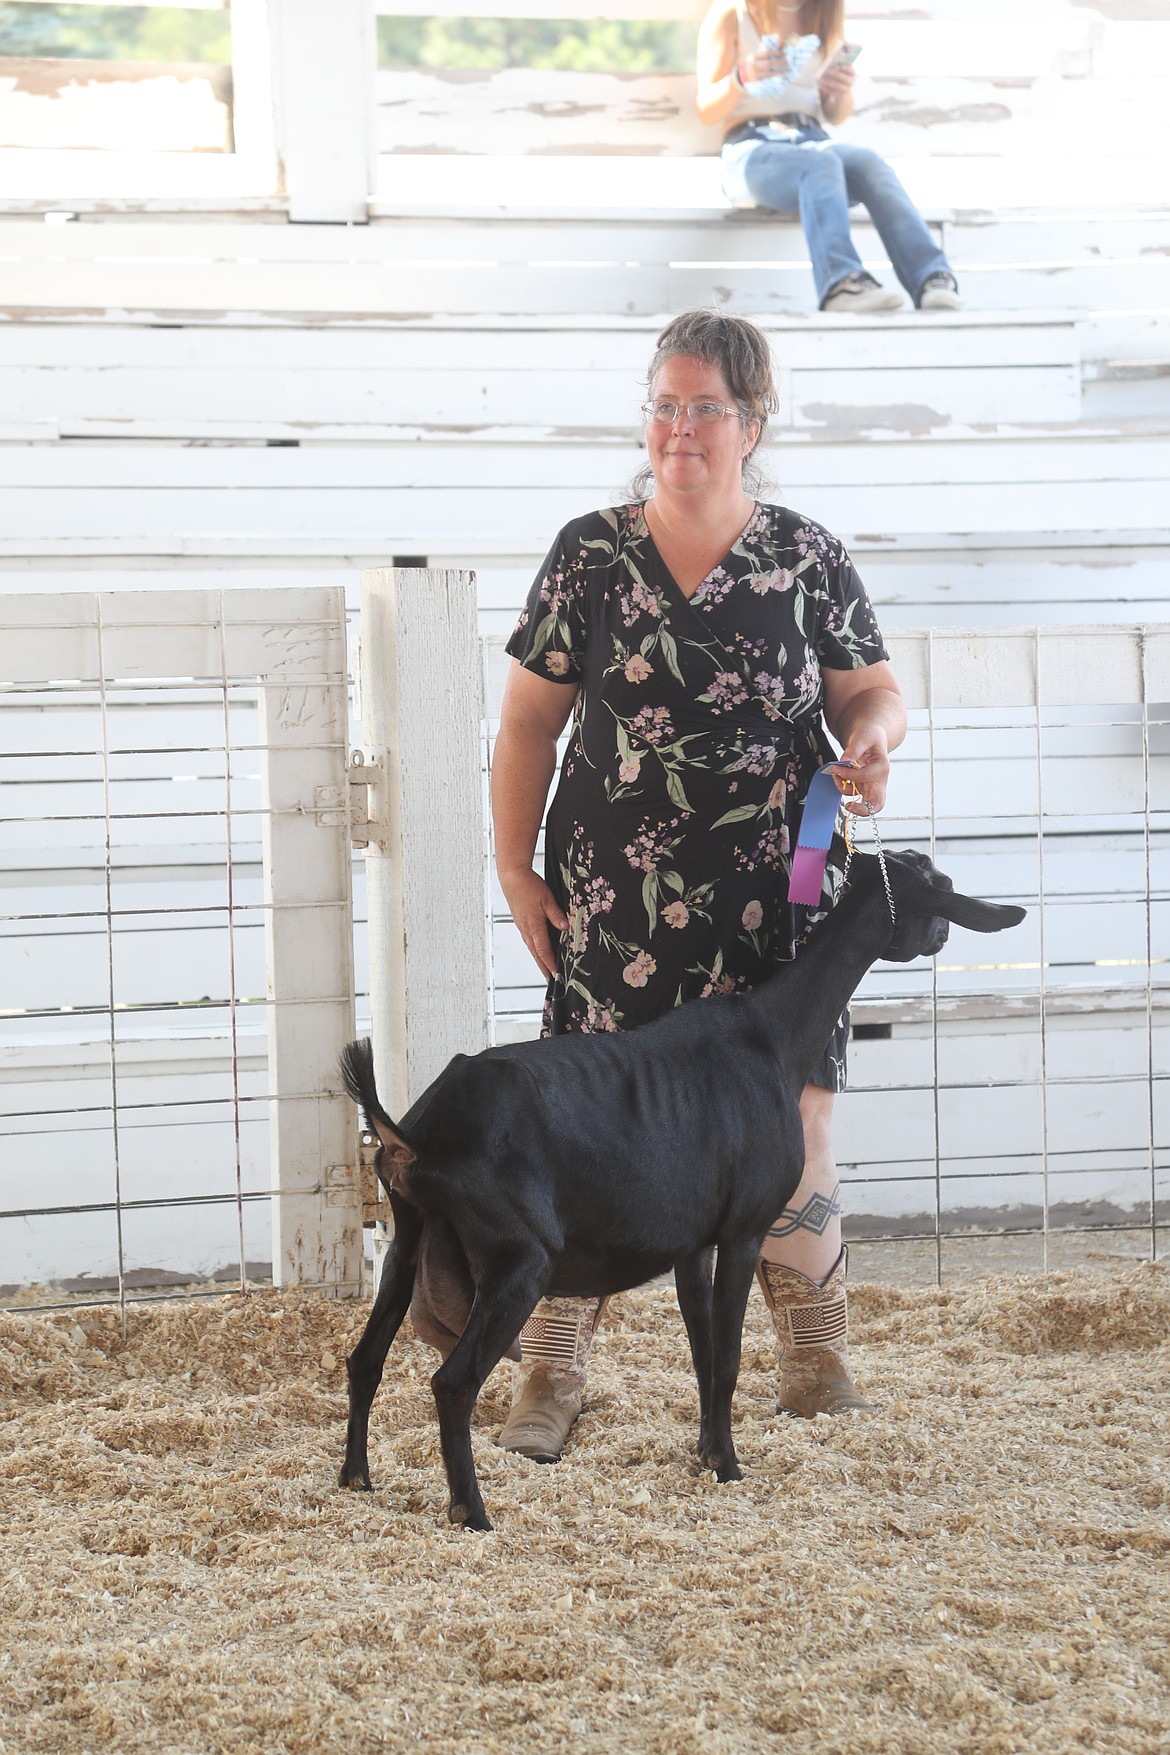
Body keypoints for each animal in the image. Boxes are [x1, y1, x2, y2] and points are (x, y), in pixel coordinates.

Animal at [338, 845, 1024, 1523]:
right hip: (519, 1259)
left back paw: (356, 1479)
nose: (942, 936)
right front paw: (729, 1467)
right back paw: (471, 1510)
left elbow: (703, 1354)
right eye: (941, 885)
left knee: (365, 1358)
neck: (772, 1035)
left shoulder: (693, 1245)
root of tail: (418, 1132)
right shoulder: (744, 1230)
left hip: (407, 1242)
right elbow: (728, 1355)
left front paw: (707, 1450)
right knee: (452, 1383)